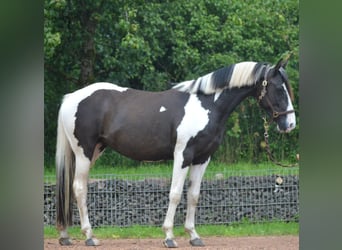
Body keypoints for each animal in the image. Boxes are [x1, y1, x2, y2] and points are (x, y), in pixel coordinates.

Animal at [56, 57, 296, 247]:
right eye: (278, 88)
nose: (290, 124)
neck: (207, 105)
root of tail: (70, 97)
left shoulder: (202, 159)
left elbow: (193, 195)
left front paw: (194, 236)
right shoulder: (182, 156)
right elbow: (175, 194)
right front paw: (169, 237)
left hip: (93, 151)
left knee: (71, 188)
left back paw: (66, 236)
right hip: (84, 152)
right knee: (79, 188)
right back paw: (89, 236)